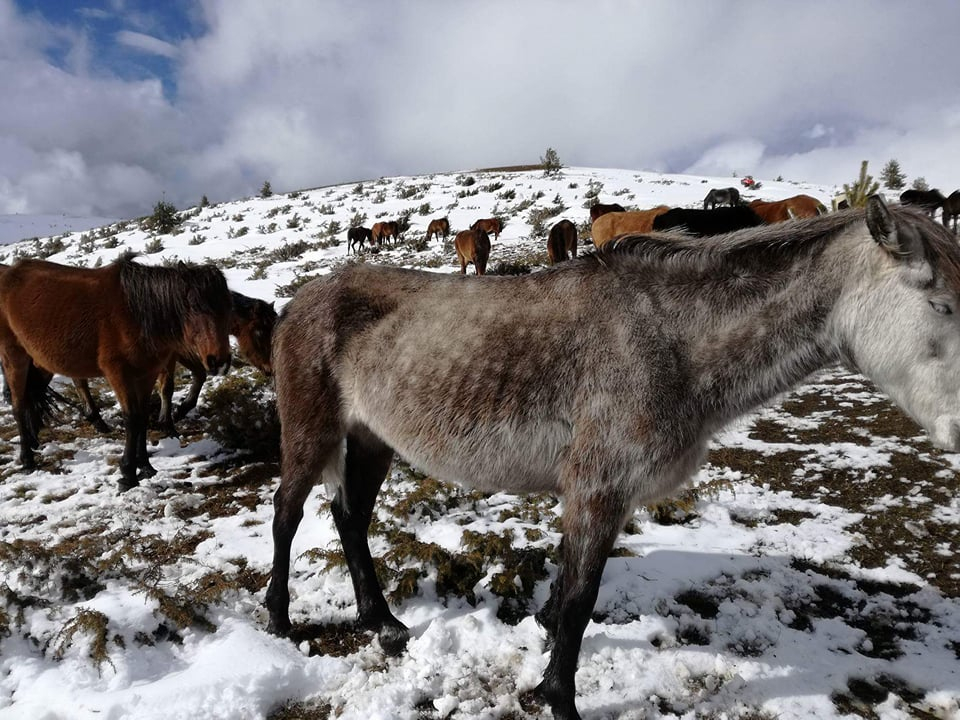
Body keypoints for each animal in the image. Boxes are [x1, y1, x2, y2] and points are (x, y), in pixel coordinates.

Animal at [0, 253, 232, 490]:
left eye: (228, 308)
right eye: (193, 306)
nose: (218, 360)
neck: (135, 314)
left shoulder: (147, 373)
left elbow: (142, 416)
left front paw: (145, 466)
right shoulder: (119, 374)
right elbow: (131, 418)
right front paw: (128, 473)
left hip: (41, 362)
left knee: (33, 395)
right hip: (14, 357)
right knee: (19, 406)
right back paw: (27, 459)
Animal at [73, 290, 278, 436]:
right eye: (259, 331)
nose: (271, 369)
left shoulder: (180, 351)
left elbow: (199, 375)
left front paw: (181, 410)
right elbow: (167, 387)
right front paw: (167, 424)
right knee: (80, 381)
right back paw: (97, 420)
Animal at [264, 197, 960, 720]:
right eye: (943, 305)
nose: (959, 429)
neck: (671, 339)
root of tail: (296, 304)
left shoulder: (596, 492)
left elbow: (567, 587)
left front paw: (542, 635)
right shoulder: (600, 487)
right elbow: (581, 599)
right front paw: (557, 698)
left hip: (371, 439)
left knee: (351, 519)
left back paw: (382, 623)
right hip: (313, 432)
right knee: (288, 514)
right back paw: (278, 620)